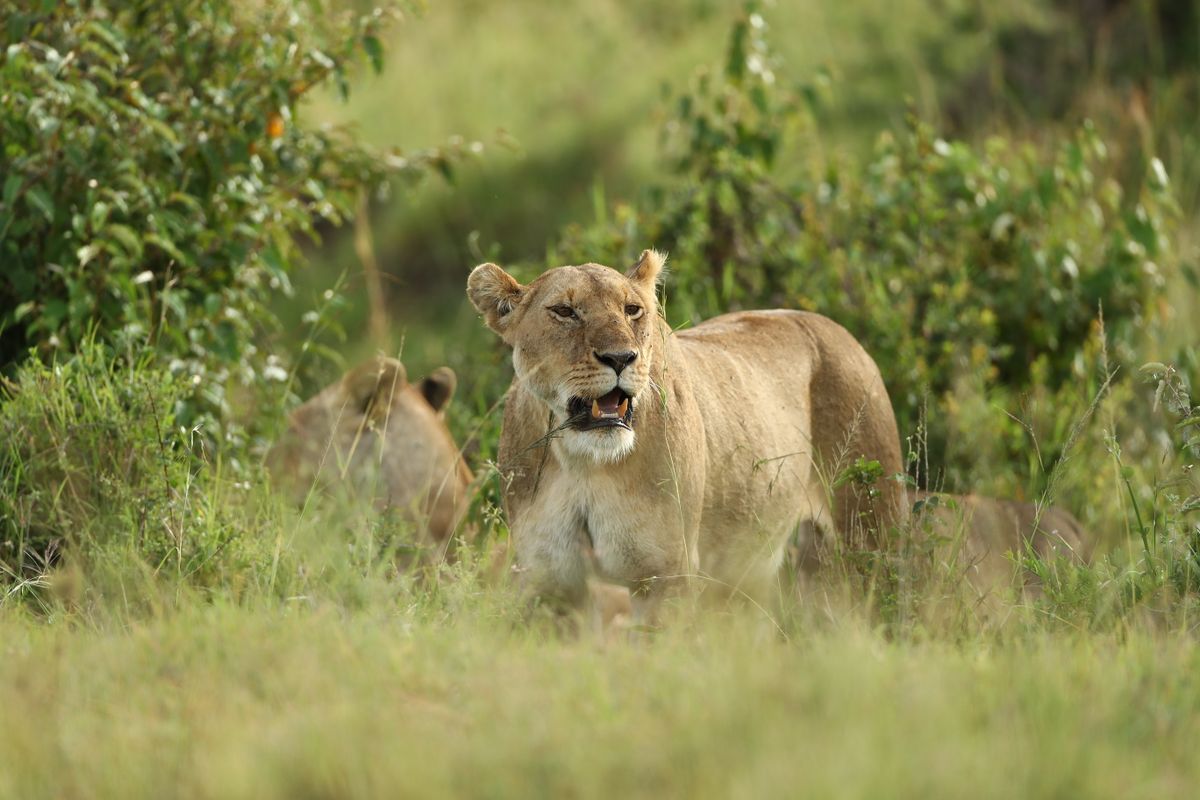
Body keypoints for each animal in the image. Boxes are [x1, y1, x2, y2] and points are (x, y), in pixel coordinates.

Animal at [467, 250, 906, 622]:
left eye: (632, 310)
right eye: (564, 311)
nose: (621, 358)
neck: (583, 463)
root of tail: (839, 329)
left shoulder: (666, 575)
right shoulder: (550, 583)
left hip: (871, 542)